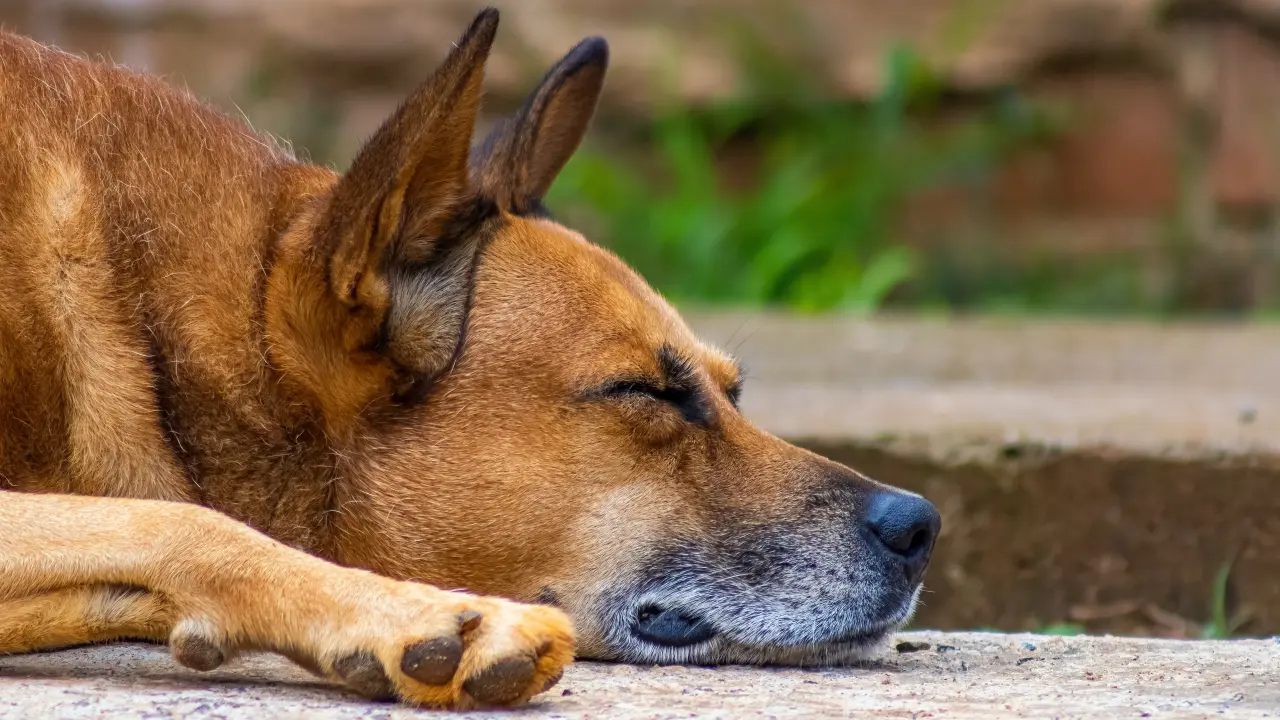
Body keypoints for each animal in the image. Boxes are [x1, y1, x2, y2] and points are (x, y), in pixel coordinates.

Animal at [0, 7, 941, 710]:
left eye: (733, 392)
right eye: (644, 391)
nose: (920, 526)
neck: (160, 337)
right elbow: (183, 521)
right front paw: (415, 615)